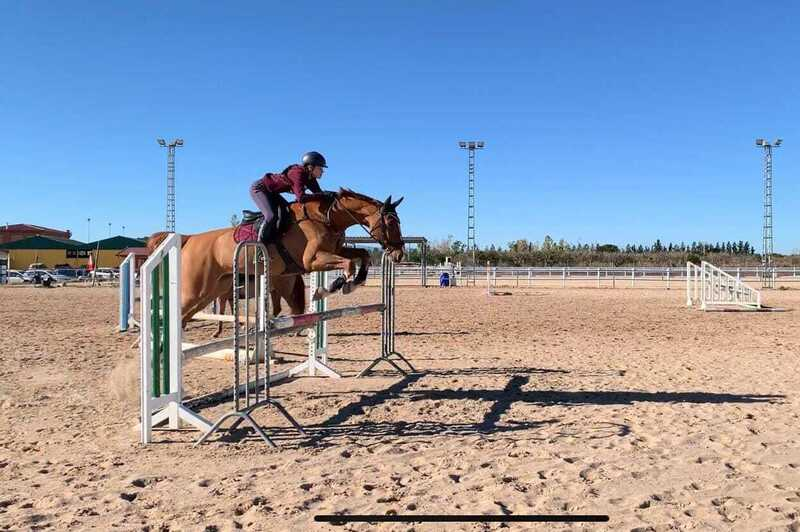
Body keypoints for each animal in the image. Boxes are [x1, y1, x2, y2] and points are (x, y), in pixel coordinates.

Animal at [146, 188, 404, 327]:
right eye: (391, 222)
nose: (399, 253)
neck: (328, 217)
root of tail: (189, 238)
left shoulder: (335, 251)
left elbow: (361, 255)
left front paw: (353, 282)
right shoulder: (312, 260)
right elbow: (348, 264)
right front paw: (332, 287)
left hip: (212, 291)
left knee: (183, 316)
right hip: (196, 290)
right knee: (175, 313)